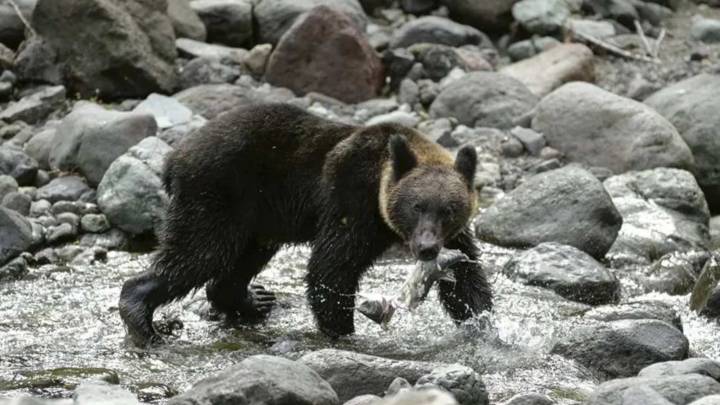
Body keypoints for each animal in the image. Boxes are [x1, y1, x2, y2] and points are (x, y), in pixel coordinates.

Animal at [118, 103, 492, 345]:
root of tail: (173, 157)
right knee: (198, 253)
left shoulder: (454, 237)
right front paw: (343, 332)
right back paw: (142, 320)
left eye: (449, 209)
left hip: (258, 218)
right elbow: (332, 267)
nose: (427, 248)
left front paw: (482, 324)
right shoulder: (351, 199)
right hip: (217, 196)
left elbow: (467, 278)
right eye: (416, 206)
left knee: (237, 262)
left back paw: (255, 300)